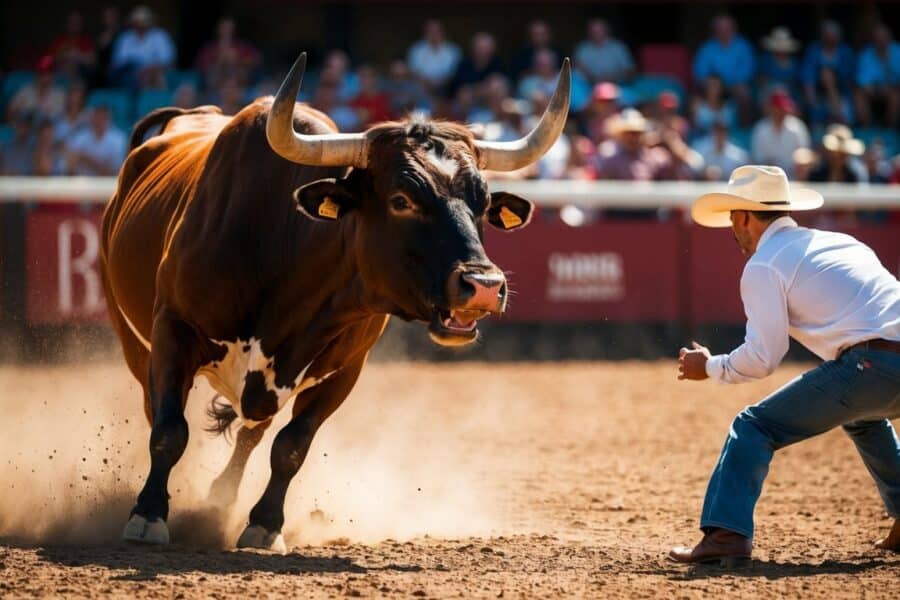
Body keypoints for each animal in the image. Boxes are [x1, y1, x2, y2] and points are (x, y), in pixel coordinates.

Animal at [102, 52, 568, 552]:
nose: (483, 284)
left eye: (481, 204)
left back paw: (219, 501)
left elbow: (291, 446)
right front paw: (148, 514)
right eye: (401, 199)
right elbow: (169, 431)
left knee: (252, 433)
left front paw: (264, 524)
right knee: (158, 411)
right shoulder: (172, 331)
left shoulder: (343, 368)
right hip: (132, 340)